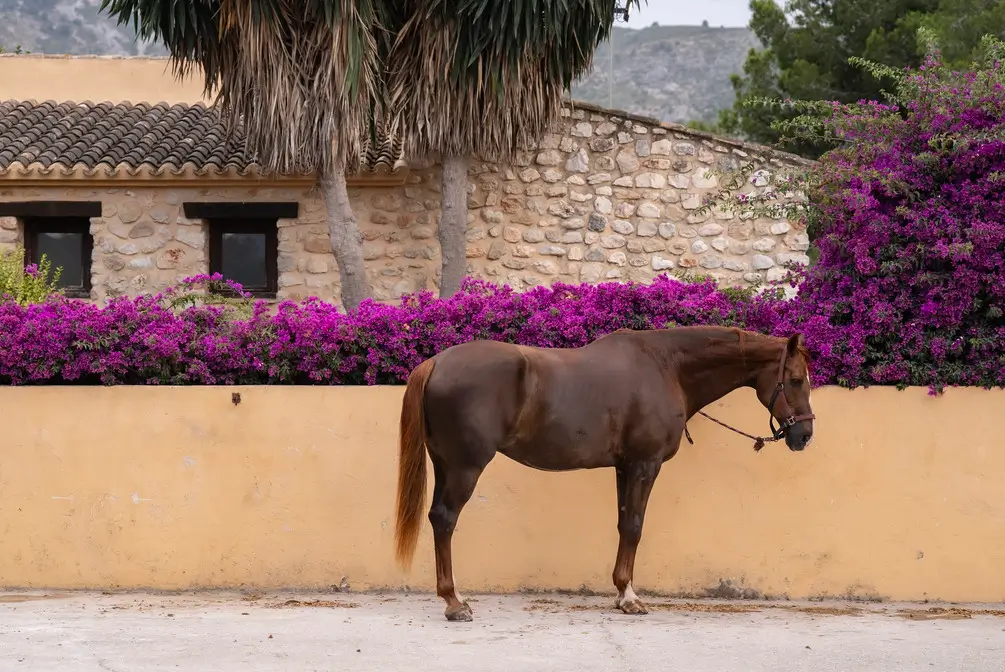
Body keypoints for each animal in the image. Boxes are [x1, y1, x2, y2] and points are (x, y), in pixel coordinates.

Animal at [393, 325, 816, 621]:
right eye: (795, 380)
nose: (805, 435)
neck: (667, 368)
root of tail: (436, 362)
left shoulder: (624, 467)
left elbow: (623, 523)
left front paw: (620, 592)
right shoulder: (645, 464)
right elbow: (635, 527)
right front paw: (629, 598)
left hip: (445, 464)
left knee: (437, 519)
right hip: (465, 466)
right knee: (446, 519)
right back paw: (454, 602)